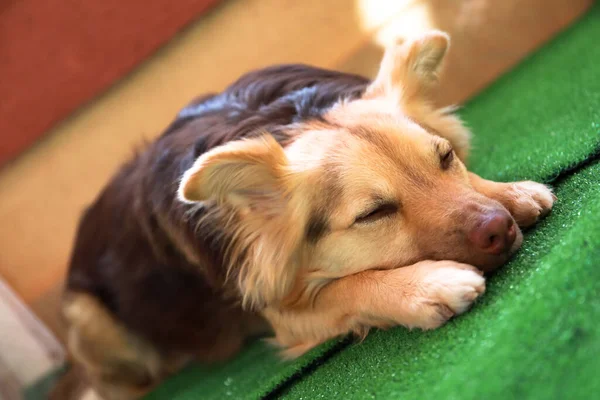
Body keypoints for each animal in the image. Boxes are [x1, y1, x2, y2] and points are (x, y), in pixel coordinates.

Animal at [58, 32, 556, 400]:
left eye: (446, 157)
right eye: (375, 213)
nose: (499, 229)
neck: (285, 118)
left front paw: (509, 191)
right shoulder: (280, 311)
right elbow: (346, 287)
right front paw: (424, 285)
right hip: (88, 318)